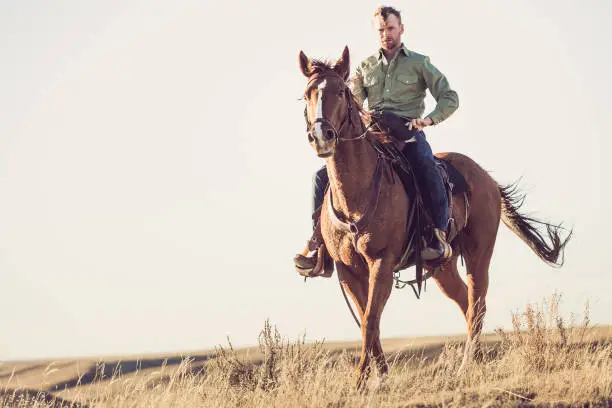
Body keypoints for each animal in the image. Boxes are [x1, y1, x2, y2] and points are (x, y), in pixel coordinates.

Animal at [298, 46, 572, 388]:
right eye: (307, 93)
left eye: (340, 91)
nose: (321, 135)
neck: (357, 195)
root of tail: (486, 178)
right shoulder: (347, 271)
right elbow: (366, 321)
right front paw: (380, 376)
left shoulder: (382, 263)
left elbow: (370, 319)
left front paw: (361, 382)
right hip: (442, 267)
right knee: (465, 303)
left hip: (479, 254)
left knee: (477, 303)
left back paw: (469, 365)